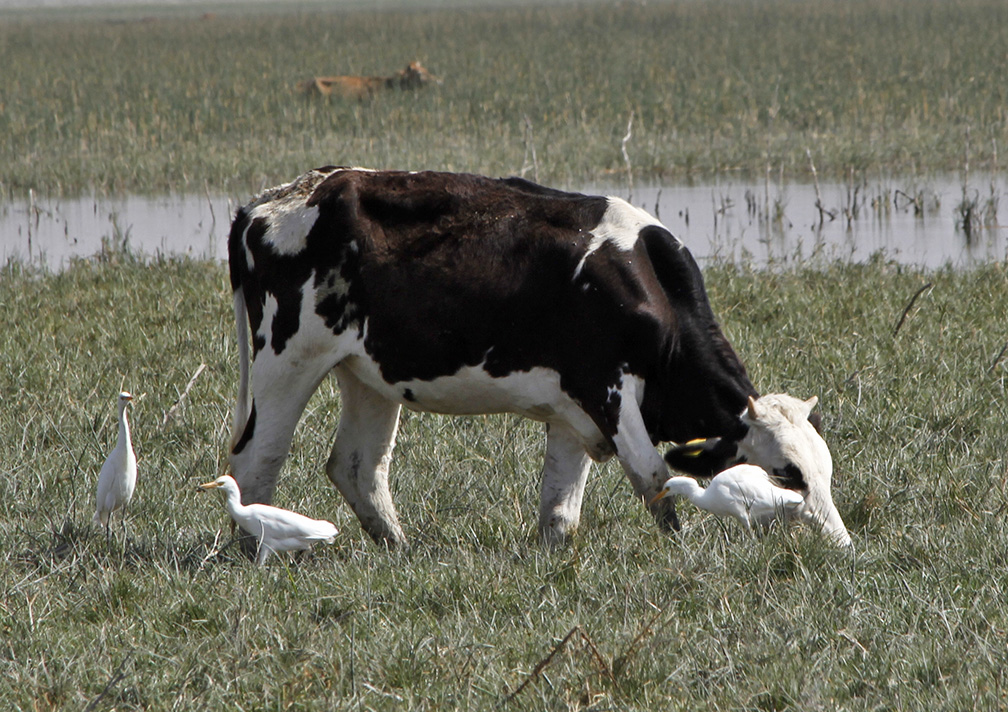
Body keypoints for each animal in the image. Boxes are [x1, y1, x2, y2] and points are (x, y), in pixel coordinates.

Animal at [226, 166, 851, 549]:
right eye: (785, 473)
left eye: (825, 469)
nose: (841, 546)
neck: (644, 283)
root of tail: (267, 203)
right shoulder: (607, 391)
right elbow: (654, 477)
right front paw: (681, 552)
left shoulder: (574, 414)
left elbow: (560, 509)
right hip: (286, 360)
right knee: (257, 458)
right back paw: (255, 548)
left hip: (369, 374)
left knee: (358, 466)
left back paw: (400, 549)